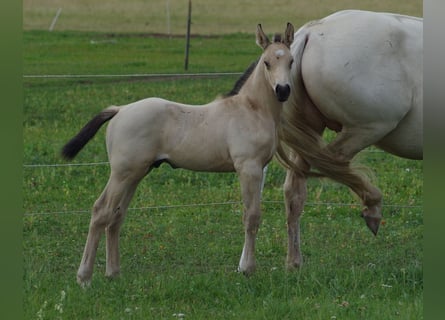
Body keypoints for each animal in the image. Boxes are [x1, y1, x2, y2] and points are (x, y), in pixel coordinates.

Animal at [59, 23, 294, 286]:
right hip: (121, 174)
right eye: (267, 62)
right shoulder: (249, 168)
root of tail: (120, 110)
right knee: (101, 211)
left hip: (135, 174)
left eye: (291, 61)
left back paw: (113, 273)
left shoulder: (259, 168)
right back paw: (84, 277)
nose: (283, 90)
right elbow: (252, 217)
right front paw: (248, 270)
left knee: (116, 216)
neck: (252, 109)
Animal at [274, 10, 424, 268]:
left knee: (295, 191)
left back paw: (294, 263)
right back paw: (373, 207)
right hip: (367, 128)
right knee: (335, 162)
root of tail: (312, 31)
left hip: (309, 131)